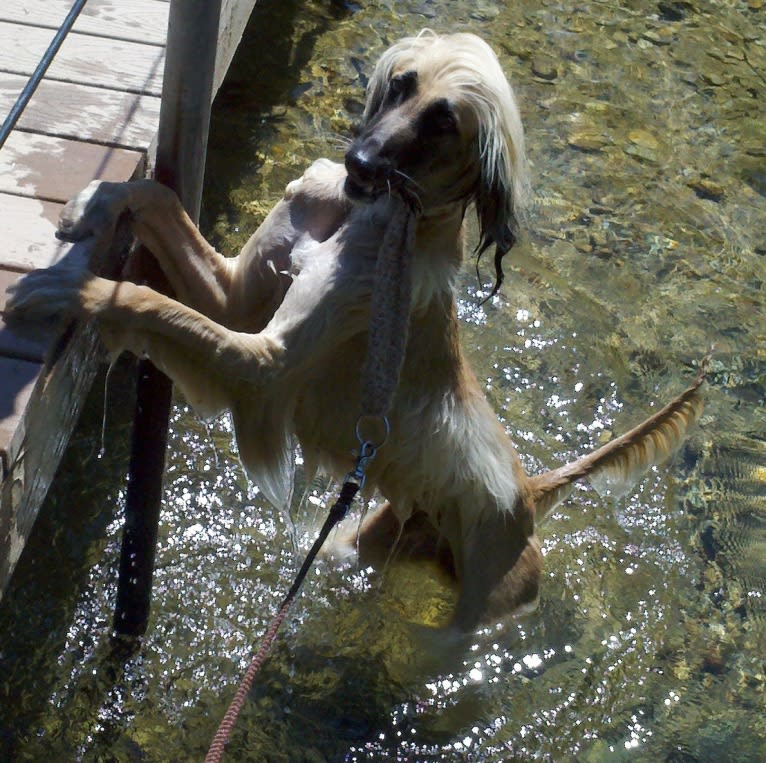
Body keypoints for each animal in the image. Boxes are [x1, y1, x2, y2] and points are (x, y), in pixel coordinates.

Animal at [3, 31, 704, 632]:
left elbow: (148, 302)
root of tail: (527, 492)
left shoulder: (263, 364)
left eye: (444, 121)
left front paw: (68, 290)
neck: (367, 213)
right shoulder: (237, 300)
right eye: (400, 84)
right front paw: (93, 200)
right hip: (369, 538)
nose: (357, 162)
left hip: (485, 609)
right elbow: (157, 197)